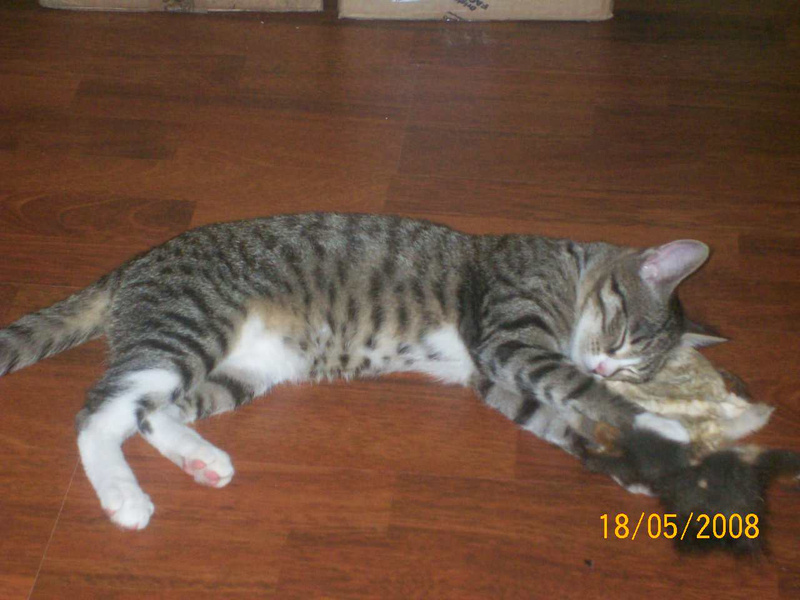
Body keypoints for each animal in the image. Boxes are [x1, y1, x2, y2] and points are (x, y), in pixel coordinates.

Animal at [0, 213, 720, 530]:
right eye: (622, 337)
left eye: (635, 364)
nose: (607, 361)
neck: (566, 266)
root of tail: (136, 263)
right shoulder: (511, 345)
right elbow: (577, 389)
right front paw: (662, 428)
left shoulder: (495, 380)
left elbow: (562, 418)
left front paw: (636, 468)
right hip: (187, 328)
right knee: (98, 411)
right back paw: (125, 499)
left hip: (240, 369)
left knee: (152, 412)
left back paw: (202, 460)